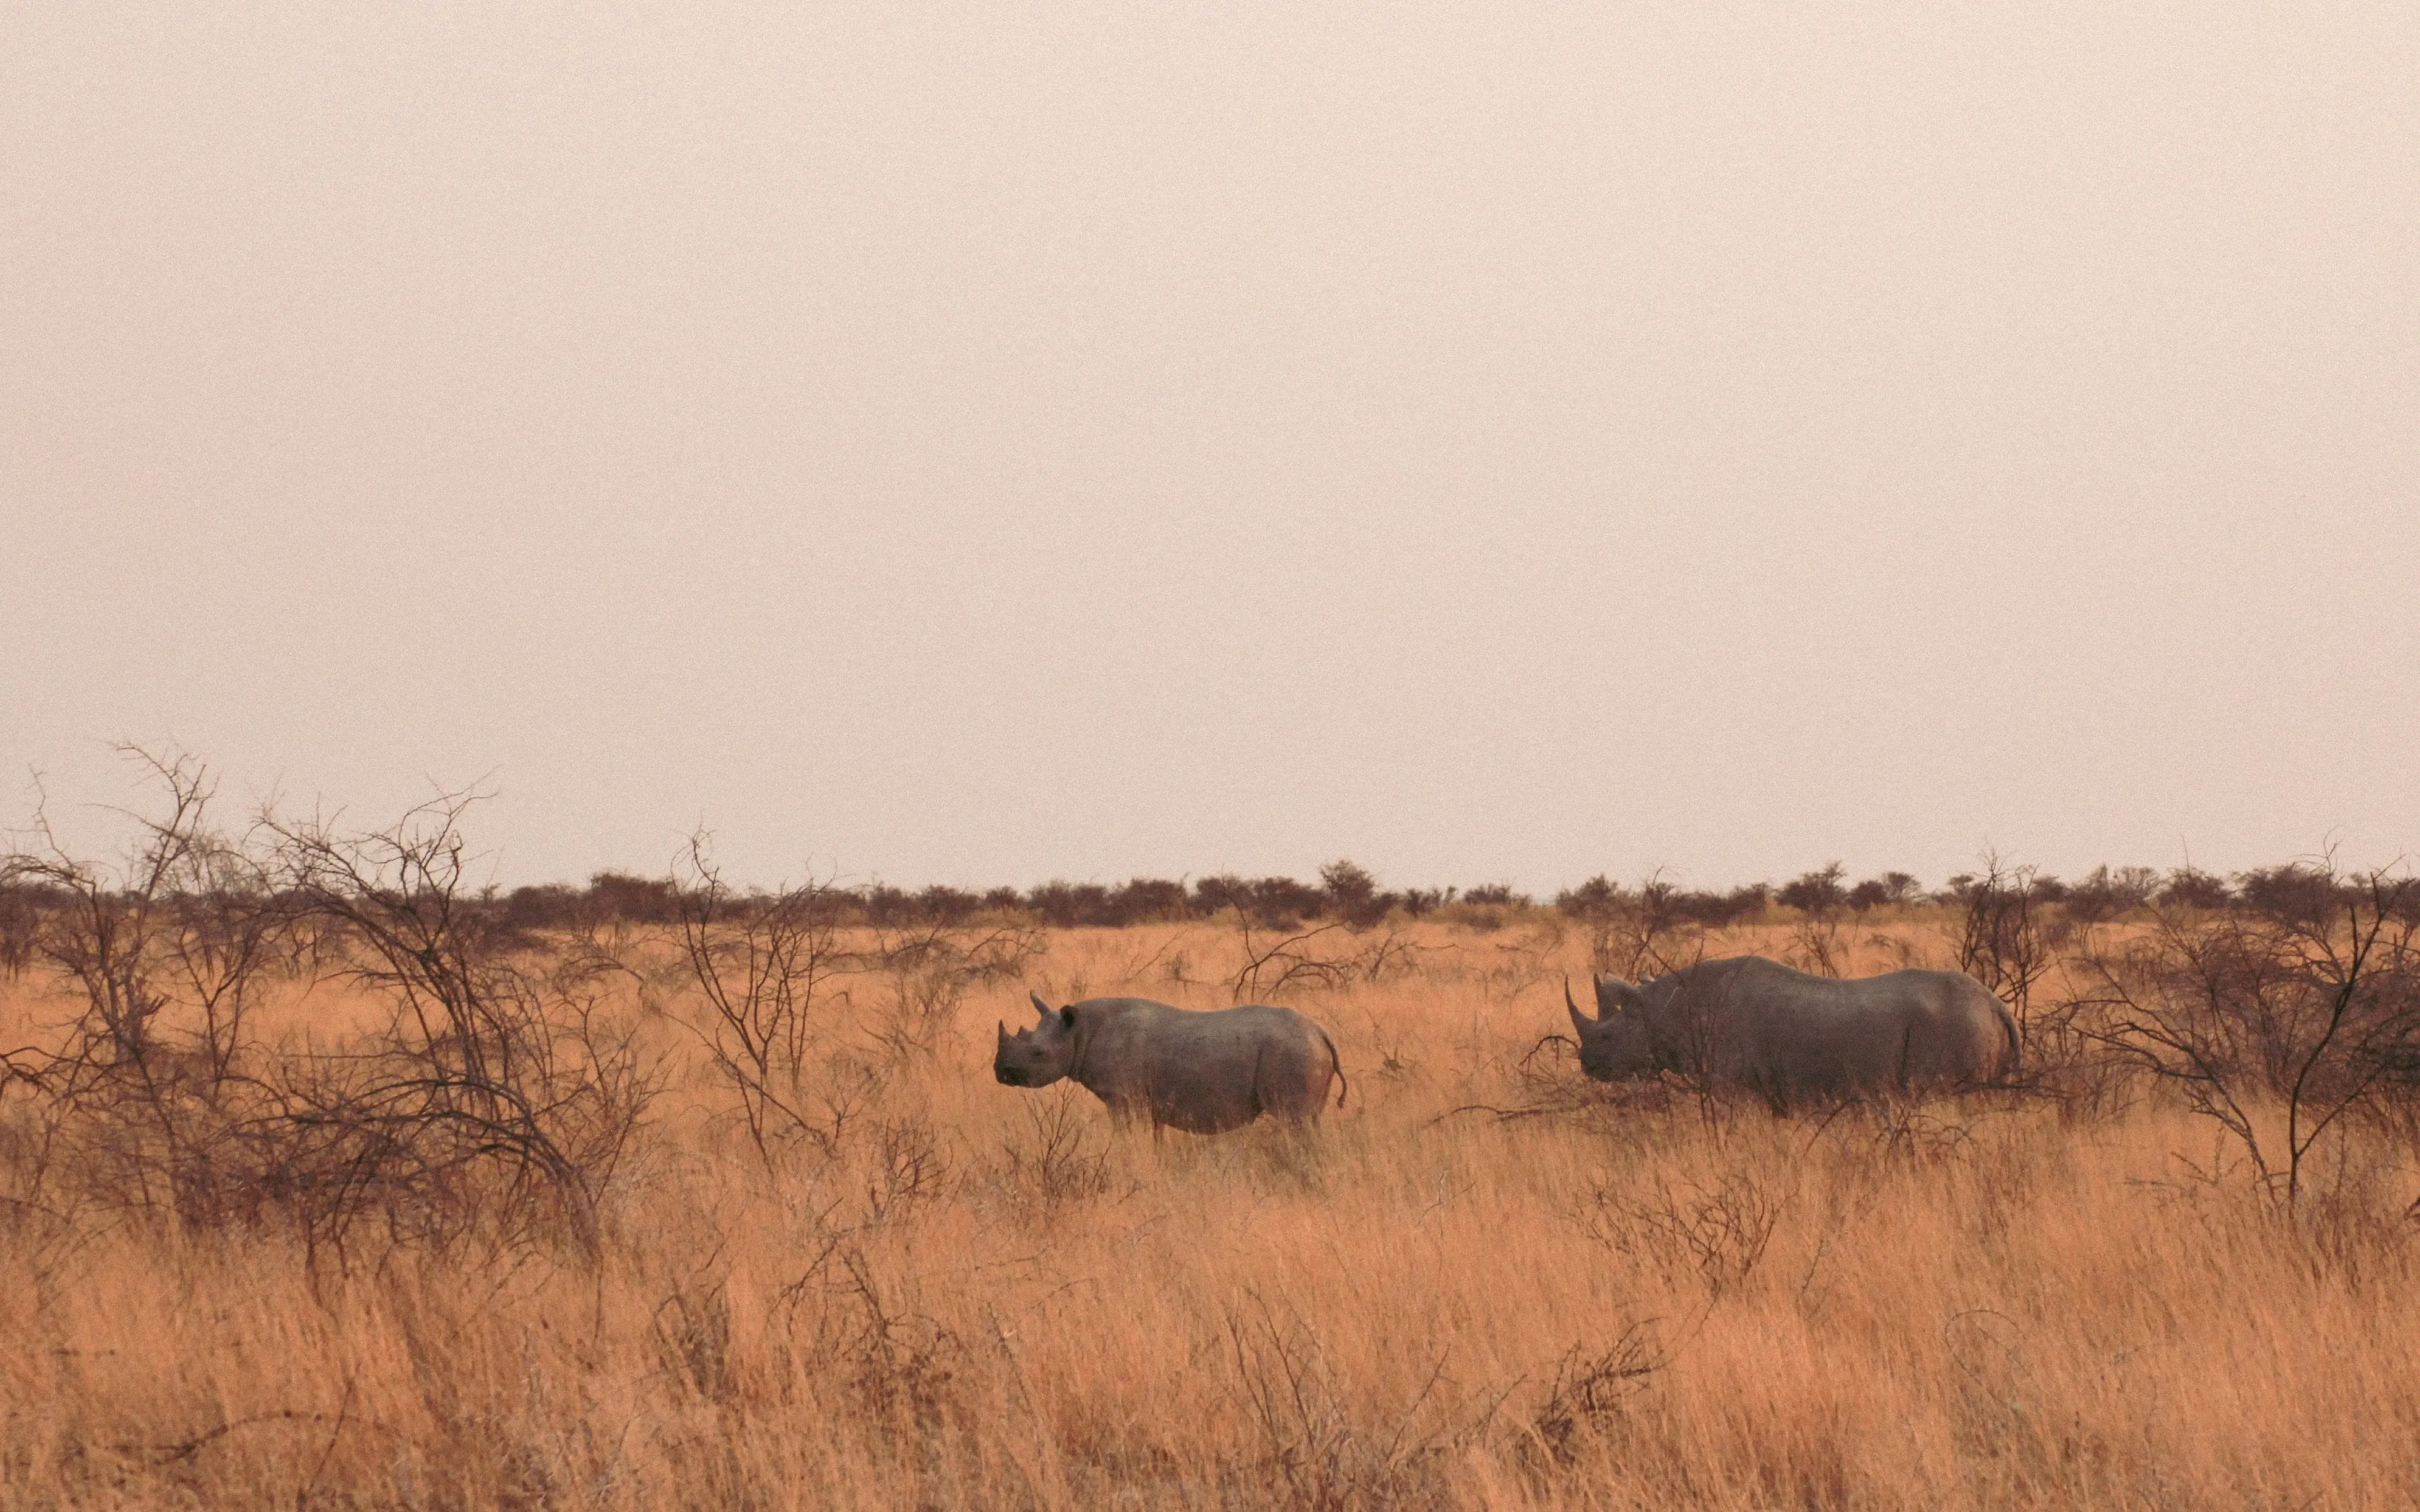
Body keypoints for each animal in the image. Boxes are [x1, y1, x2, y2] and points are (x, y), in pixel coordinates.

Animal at [995, 993, 1346, 1135]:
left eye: (1038, 1054)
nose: (1000, 1073)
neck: (1078, 1032)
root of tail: (1321, 1032)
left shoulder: (1123, 1099)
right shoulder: (1145, 1103)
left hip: (1293, 1051)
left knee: (1295, 1121)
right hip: (1303, 1049)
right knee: (1310, 1120)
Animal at [1564, 955, 2017, 1106]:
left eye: (1607, 1037)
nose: (1586, 1065)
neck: (1662, 1010)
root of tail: (1996, 1003)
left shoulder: (1730, 1084)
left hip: (1957, 1025)